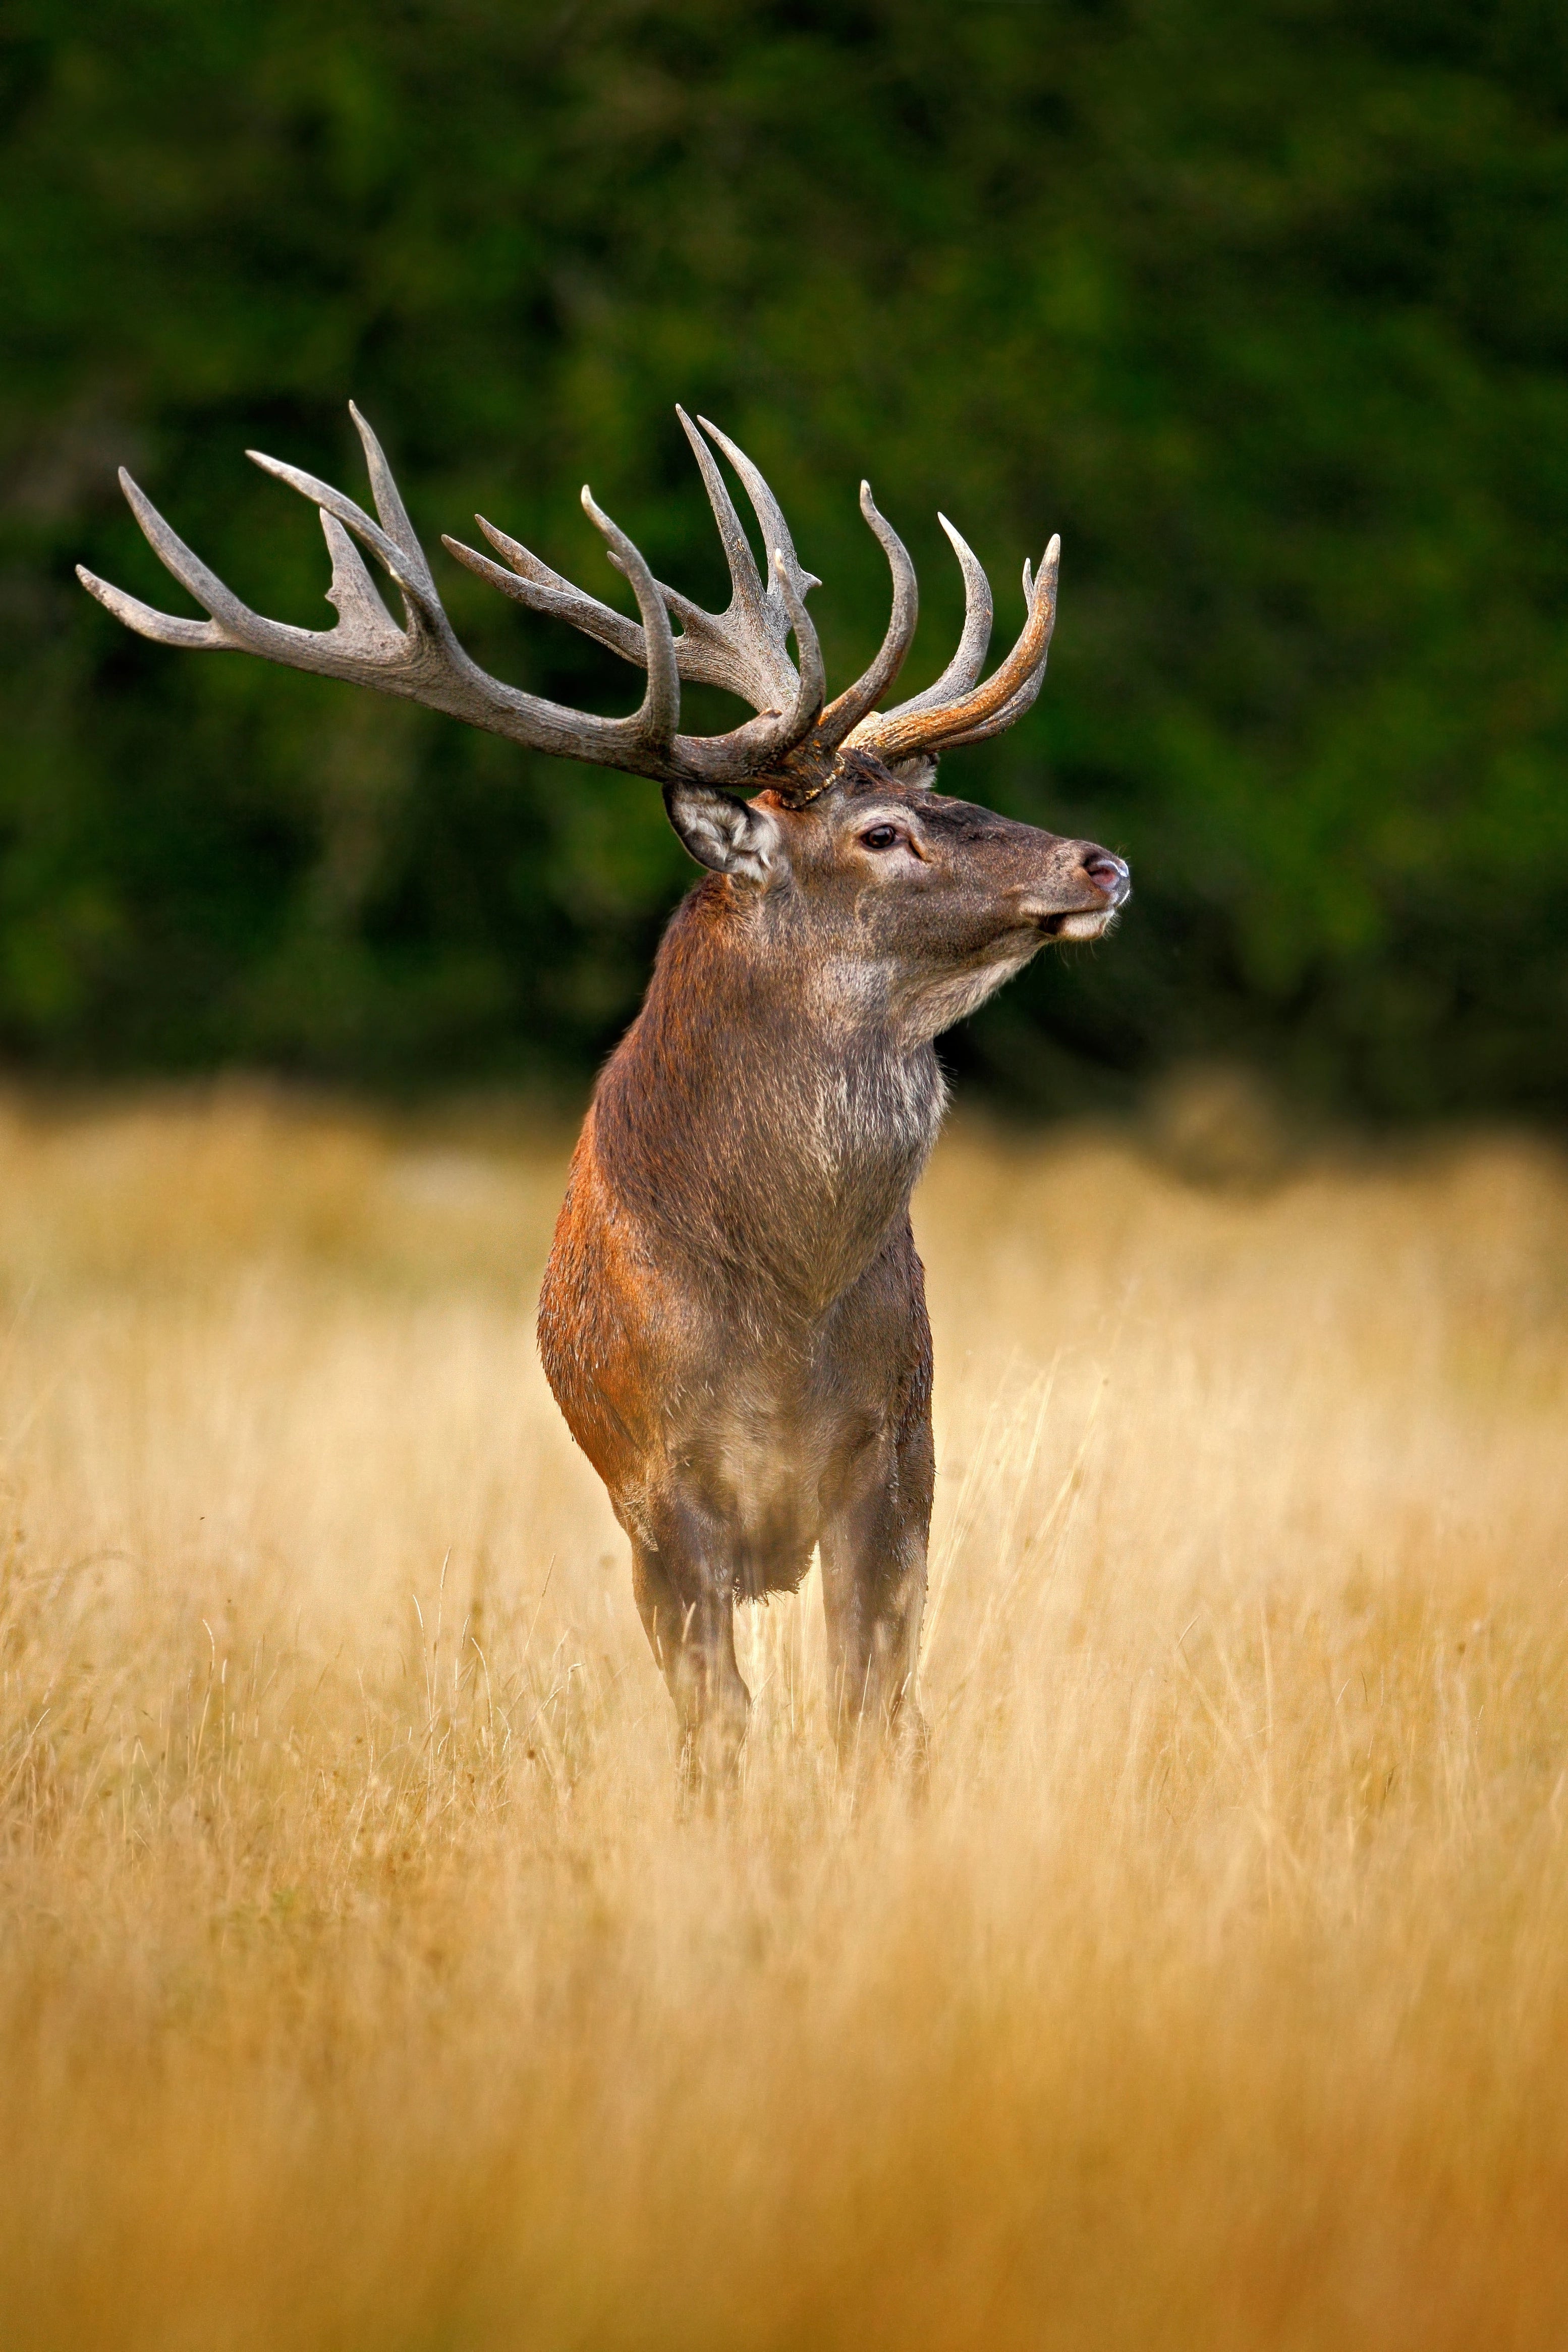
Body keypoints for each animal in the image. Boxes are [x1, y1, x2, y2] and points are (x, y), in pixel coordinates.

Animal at [79, 404, 1130, 1780]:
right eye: (883, 833)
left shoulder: (902, 1456)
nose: (1098, 861)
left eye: (949, 793)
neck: (785, 1310)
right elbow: (718, 1733)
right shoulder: (654, 1490)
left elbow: (870, 1717)